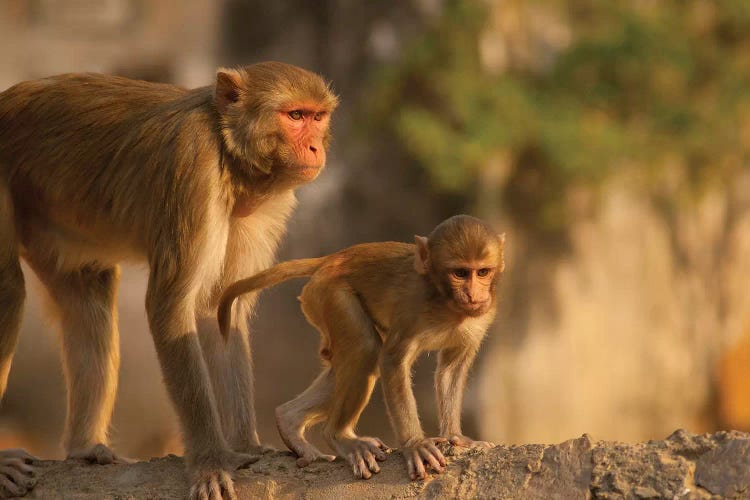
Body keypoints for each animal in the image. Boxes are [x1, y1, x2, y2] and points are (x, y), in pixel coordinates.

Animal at [0, 60, 338, 498]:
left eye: (318, 117)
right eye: (295, 116)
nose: (316, 148)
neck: (231, 161)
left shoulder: (265, 208)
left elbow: (219, 310)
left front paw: (246, 444)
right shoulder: (193, 166)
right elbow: (170, 307)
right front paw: (211, 462)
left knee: (88, 298)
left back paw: (83, 447)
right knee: (9, 290)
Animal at [219, 215, 506, 480]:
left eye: (482, 272)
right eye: (460, 273)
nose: (474, 295)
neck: (446, 302)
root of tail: (333, 258)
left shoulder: (482, 317)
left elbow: (451, 370)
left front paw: (456, 437)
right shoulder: (413, 306)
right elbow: (392, 361)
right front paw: (415, 445)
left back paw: (288, 420)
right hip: (329, 295)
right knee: (365, 349)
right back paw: (340, 436)